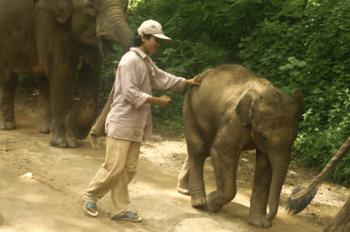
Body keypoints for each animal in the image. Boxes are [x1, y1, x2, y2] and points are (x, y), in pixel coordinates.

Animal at [0, 0, 133, 148]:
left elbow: (92, 71)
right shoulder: (48, 20)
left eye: (125, 5)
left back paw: (45, 130)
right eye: (91, 7)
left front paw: (75, 133)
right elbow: (61, 68)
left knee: (44, 79)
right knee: (7, 77)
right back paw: (8, 126)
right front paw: (64, 144)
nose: (116, 63)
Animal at [178, 64, 304, 227]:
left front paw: (258, 223)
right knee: (199, 148)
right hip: (189, 107)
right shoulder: (233, 120)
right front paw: (211, 202)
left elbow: (265, 165)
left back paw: (185, 191)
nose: (269, 220)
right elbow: (221, 152)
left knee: (201, 149)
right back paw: (199, 202)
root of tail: (200, 75)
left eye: (294, 137)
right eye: (263, 137)